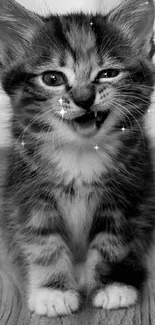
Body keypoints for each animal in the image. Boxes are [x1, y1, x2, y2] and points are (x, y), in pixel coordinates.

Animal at [0, 0, 155, 316]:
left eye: (108, 73)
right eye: (52, 79)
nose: (84, 99)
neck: (81, 151)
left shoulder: (126, 192)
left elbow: (112, 240)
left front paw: (112, 286)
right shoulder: (27, 191)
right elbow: (43, 240)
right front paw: (53, 292)